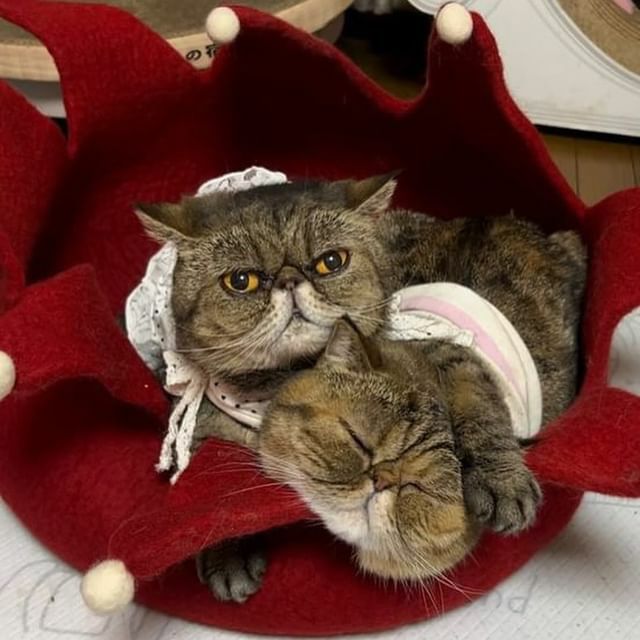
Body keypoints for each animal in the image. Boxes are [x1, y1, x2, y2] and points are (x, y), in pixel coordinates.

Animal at [136, 174, 586, 601]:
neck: (280, 384)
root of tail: (488, 217)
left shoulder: (448, 353)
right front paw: (228, 552)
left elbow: (477, 408)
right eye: (241, 281)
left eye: (330, 262)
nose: (288, 280)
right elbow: (215, 504)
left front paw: (501, 480)